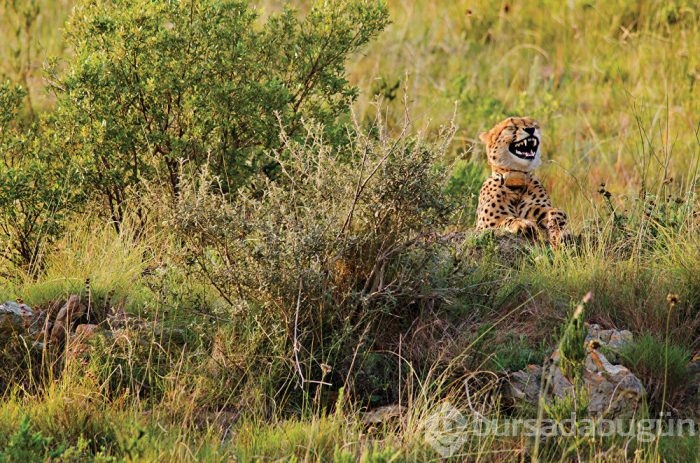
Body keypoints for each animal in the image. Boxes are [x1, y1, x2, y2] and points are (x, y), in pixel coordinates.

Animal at [476, 116, 568, 246]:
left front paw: (560, 228)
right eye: (511, 126)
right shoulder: (483, 227)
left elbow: (557, 212)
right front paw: (521, 224)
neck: (516, 178)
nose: (530, 129)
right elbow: (505, 220)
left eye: (533, 124)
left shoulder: (539, 209)